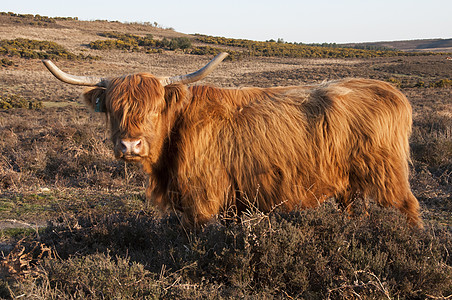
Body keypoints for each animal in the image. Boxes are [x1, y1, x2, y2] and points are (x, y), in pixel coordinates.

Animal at [42, 54, 420, 226]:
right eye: (113, 109)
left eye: (155, 109)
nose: (130, 146)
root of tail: (390, 90)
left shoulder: (202, 197)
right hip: (349, 185)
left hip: (389, 176)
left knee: (409, 207)